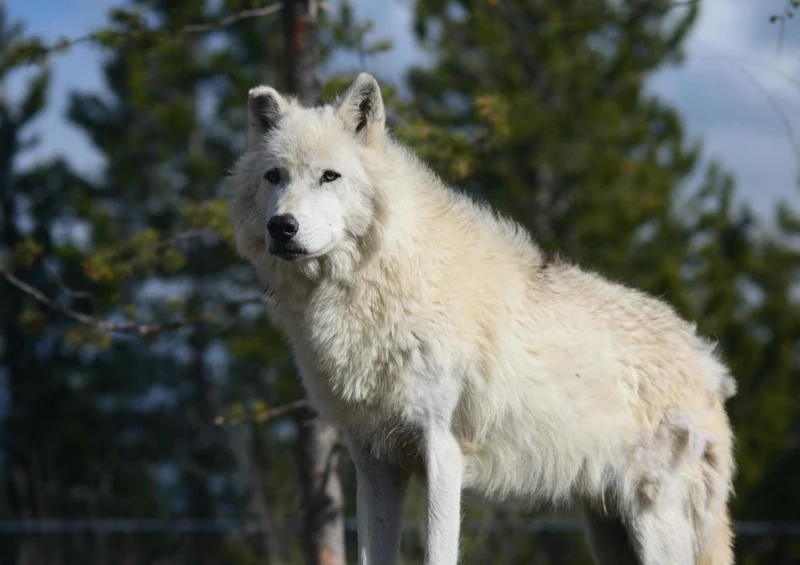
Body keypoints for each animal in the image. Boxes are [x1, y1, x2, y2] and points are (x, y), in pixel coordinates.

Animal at [226, 72, 737, 565]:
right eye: (275, 176)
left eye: (329, 176)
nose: (282, 227)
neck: (380, 281)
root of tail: (708, 362)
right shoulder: (373, 460)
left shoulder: (442, 452)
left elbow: (437, 552)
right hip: (608, 531)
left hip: (654, 523)